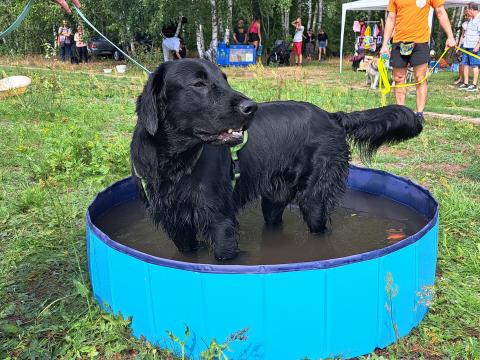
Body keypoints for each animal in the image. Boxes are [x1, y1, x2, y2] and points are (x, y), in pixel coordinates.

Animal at [130, 59, 420, 258]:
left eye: (224, 80)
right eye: (198, 84)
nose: (251, 107)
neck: (174, 164)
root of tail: (331, 116)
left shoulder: (219, 221)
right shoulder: (176, 224)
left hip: (315, 198)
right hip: (274, 198)